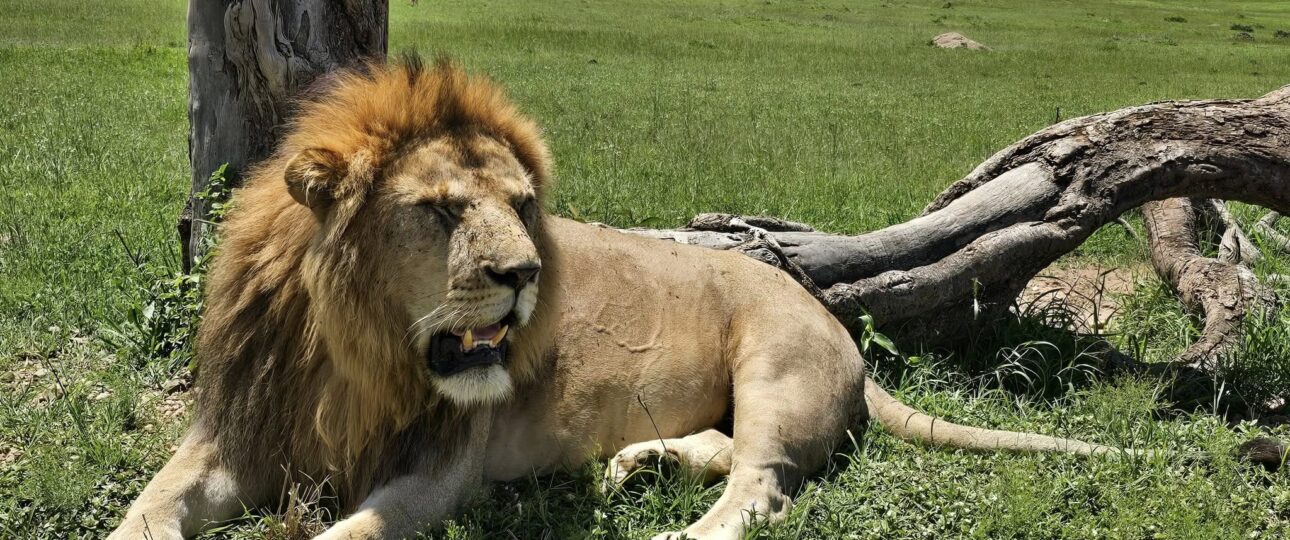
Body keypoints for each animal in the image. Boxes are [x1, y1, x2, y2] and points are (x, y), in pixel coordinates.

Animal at [110, 56, 1138, 540]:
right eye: (440, 211)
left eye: (524, 205)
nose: (525, 275)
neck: (353, 356)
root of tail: (827, 312)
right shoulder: (238, 430)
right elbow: (148, 507)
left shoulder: (437, 474)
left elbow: (345, 532)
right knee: (728, 453)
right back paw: (640, 464)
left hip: (776, 368)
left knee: (762, 485)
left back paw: (674, 522)